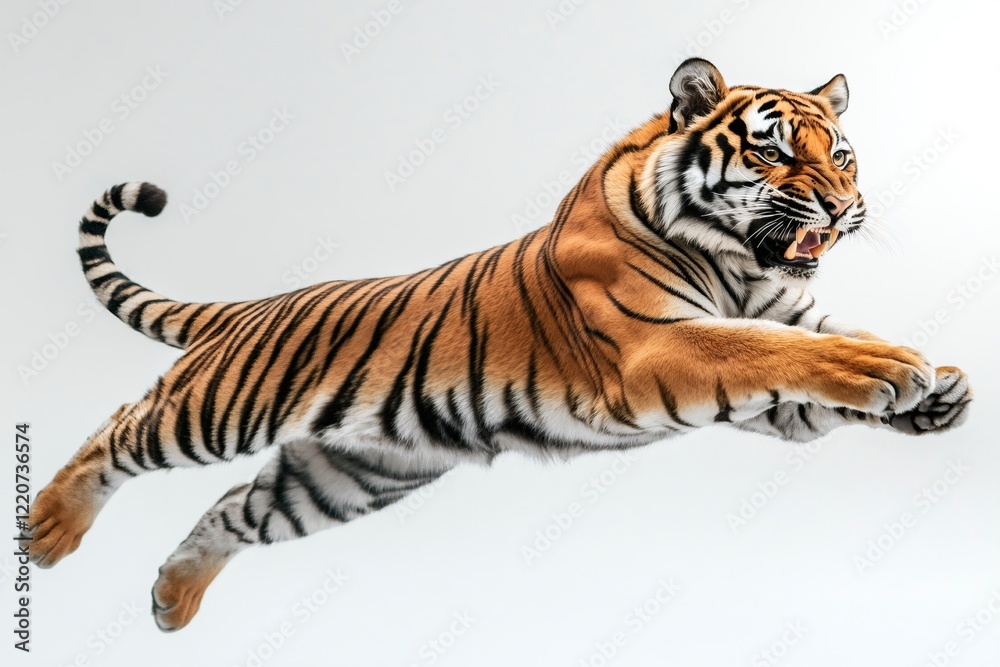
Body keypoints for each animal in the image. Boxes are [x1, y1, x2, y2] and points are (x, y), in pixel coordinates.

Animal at [26, 58, 971, 632]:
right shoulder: (657, 350)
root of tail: (247, 308)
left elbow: (816, 357)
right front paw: (890, 368)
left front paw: (939, 388)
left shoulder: (771, 368)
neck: (736, 260)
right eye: (775, 154)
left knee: (232, 509)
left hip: (353, 473)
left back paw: (172, 597)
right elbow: (772, 350)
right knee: (121, 427)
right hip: (220, 405)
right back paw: (48, 530)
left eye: (841, 155)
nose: (842, 206)